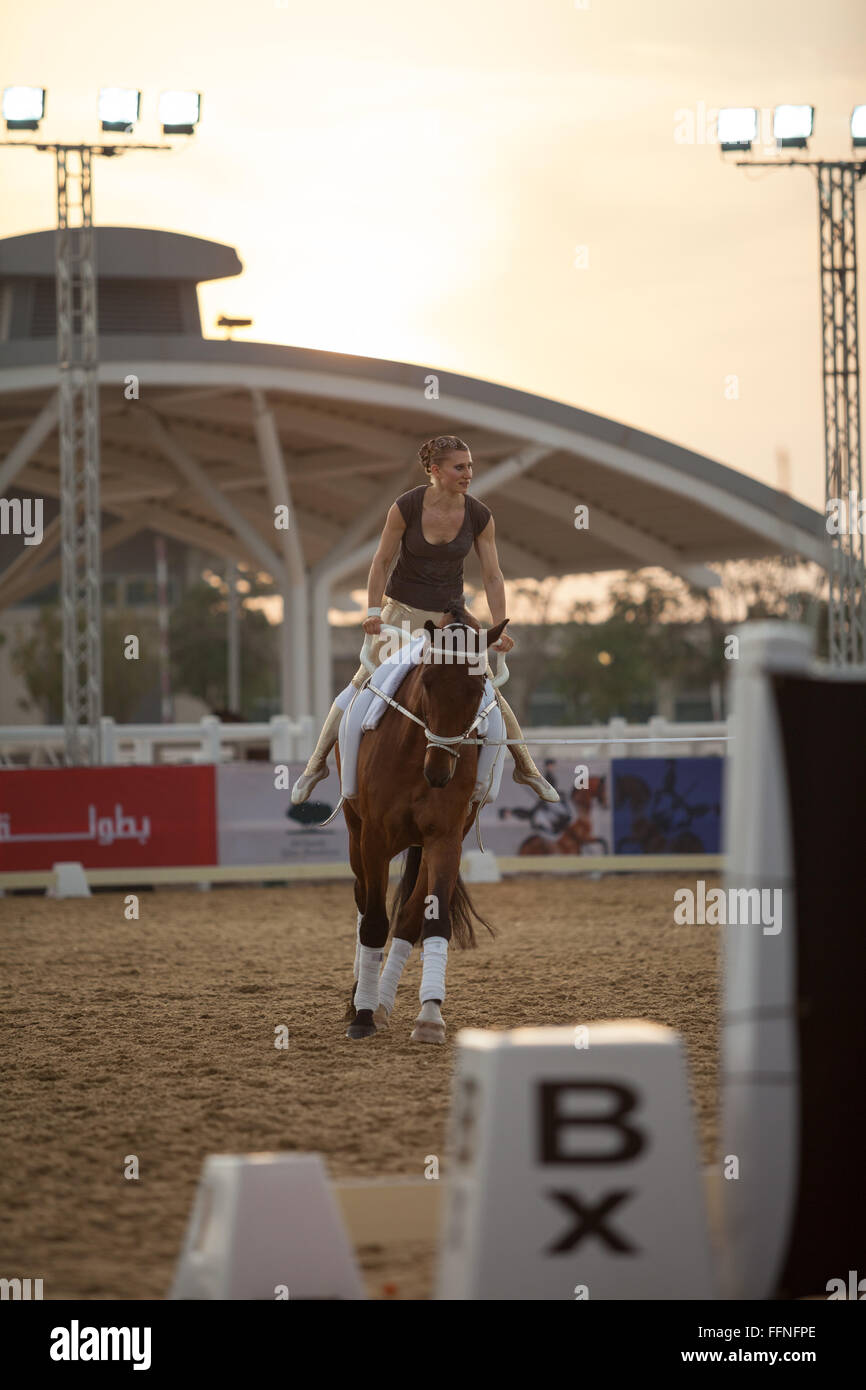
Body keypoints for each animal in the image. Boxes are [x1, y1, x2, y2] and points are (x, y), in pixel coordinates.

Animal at [333, 617, 508, 1045]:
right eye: (427, 680)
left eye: (478, 689)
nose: (440, 774)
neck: (417, 756)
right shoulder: (374, 839)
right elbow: (374, 921)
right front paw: (361, 1016)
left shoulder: (444, 839)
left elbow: (432, 920)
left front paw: (429, 1015)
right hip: (355, 833)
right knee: (363, 901)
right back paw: (363, 999)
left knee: (409, 919)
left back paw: (383, 1003)